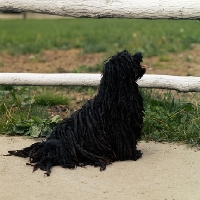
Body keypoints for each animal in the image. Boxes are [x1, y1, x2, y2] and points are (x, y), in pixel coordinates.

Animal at [6, 50, 147, 176]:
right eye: (128, 58)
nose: (139, 54)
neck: (114, 96)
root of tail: (49, 145)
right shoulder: (122, 131)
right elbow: (125, 146)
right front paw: (134, 154)